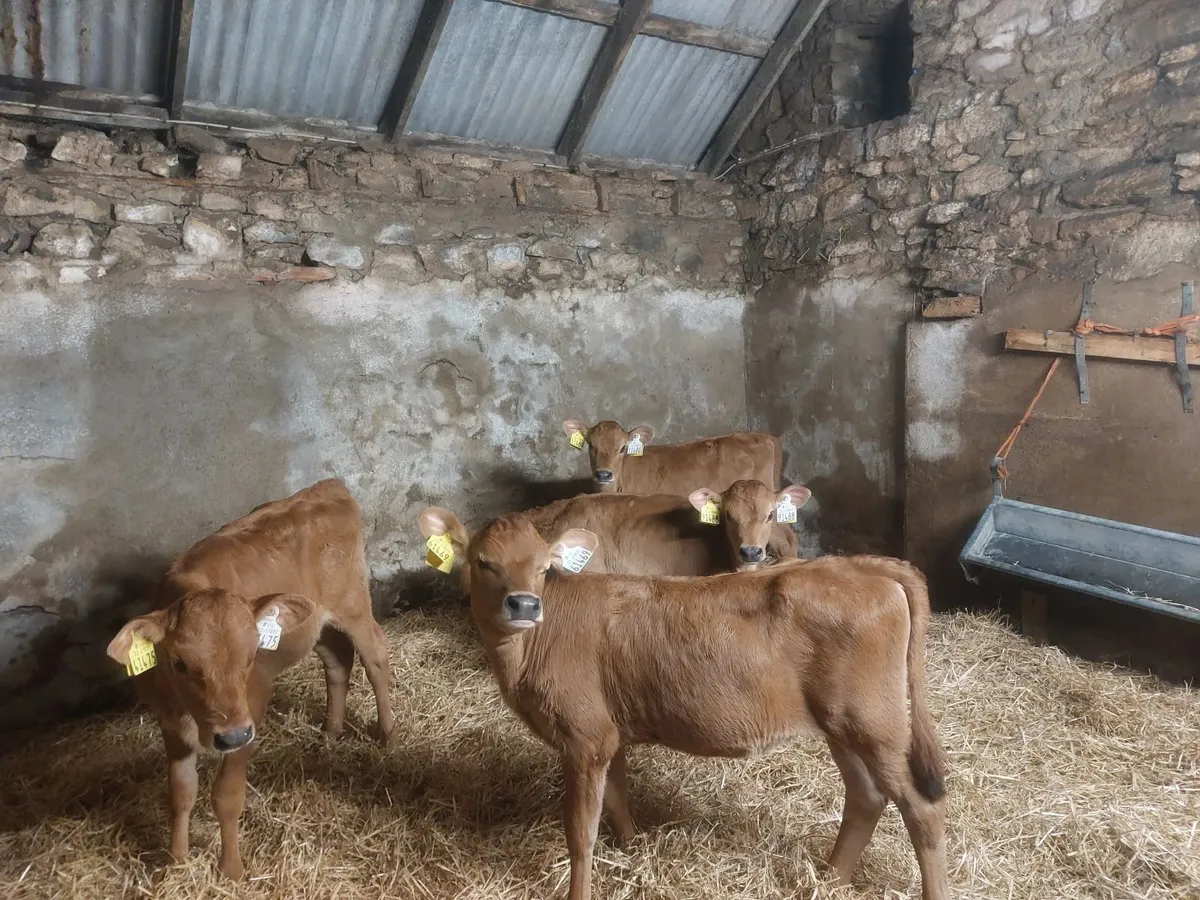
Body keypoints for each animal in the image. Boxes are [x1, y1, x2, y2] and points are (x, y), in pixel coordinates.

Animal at [106, 479, 396, 881]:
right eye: (179, 662)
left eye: (251, 656)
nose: (231, 736)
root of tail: (329, 487)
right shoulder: (169, 724)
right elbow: (180, 792)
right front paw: (176, 861)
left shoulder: (250, 714)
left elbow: (226, 796)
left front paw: (231, 869)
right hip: (314, 625)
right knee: (338, 660)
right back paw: (330, 731)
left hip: (353, 604)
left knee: (375, 655)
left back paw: (387, 733)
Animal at [417, 506, 950, 900]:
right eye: (483, 562)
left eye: (545, 567)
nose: (525, 605)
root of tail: (860, 564)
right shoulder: (610, 733)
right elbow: (618, 798)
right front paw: (633, 850)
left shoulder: (585, 737)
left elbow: (580, 832)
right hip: (842, 723)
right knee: (867, 796)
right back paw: (829, 879)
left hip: (875, 722)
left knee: (921, 807)